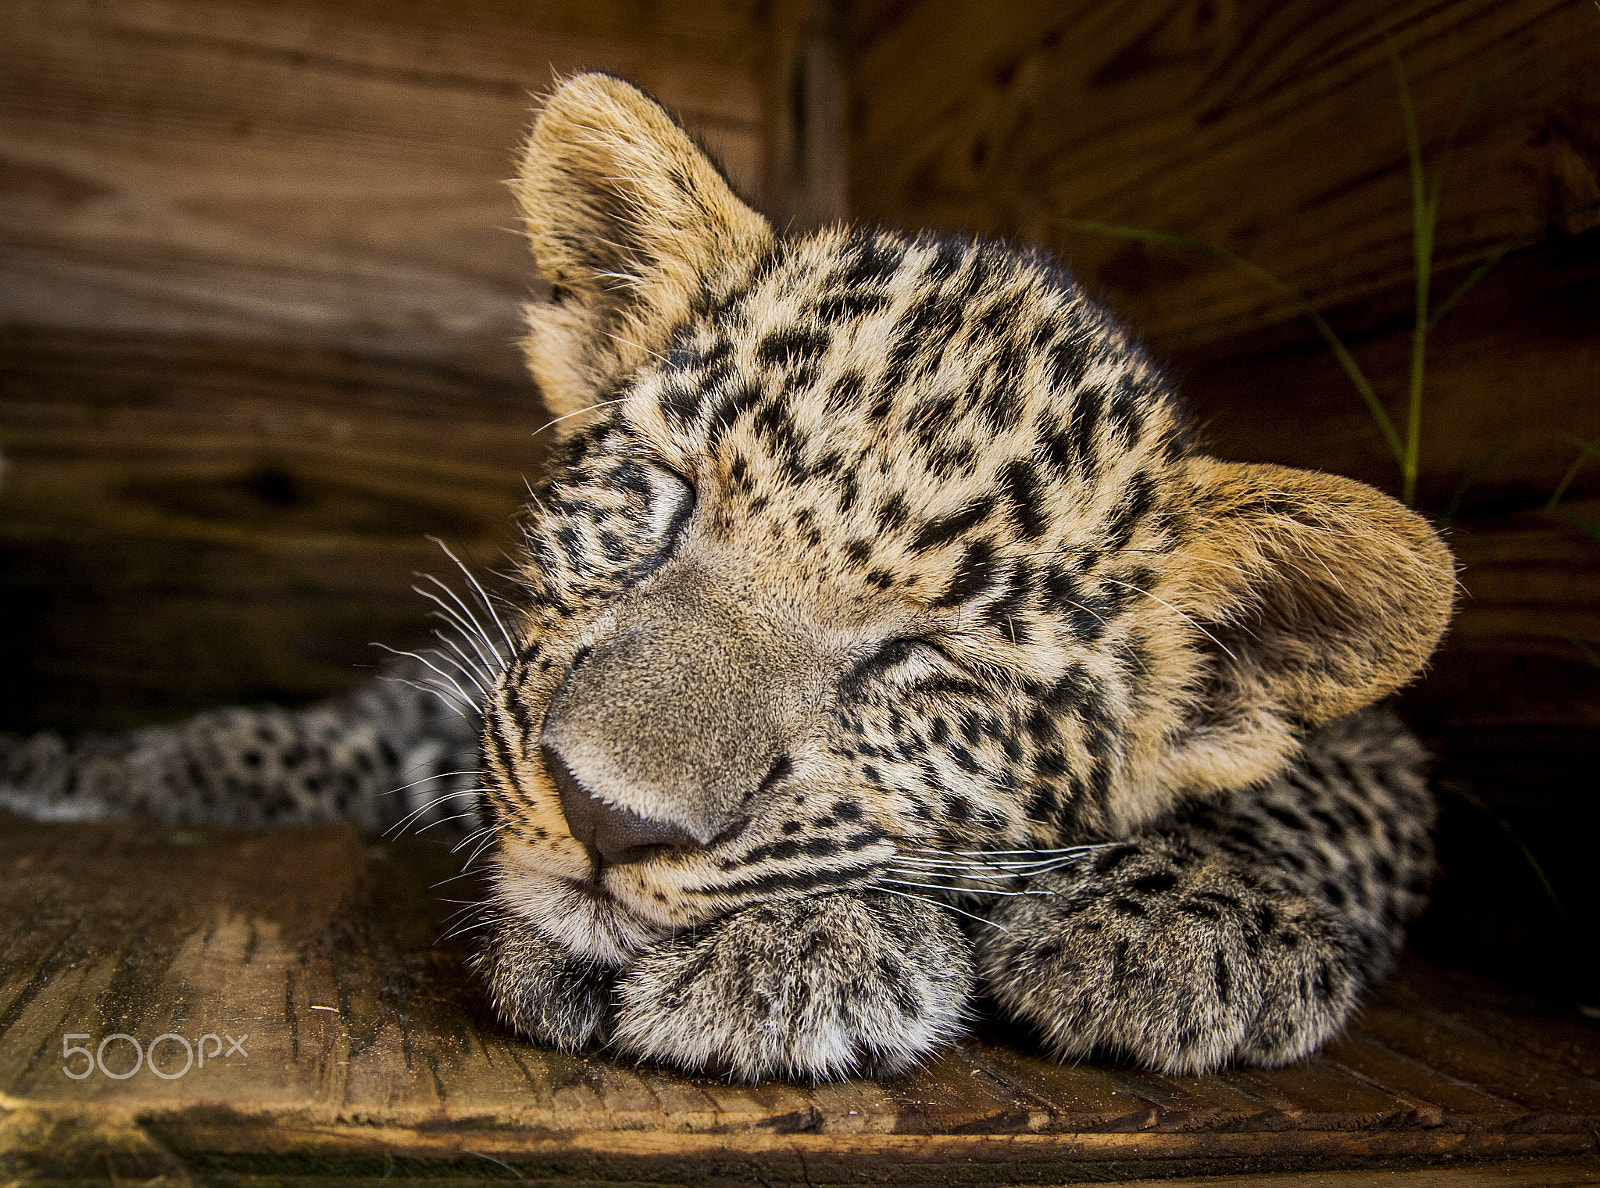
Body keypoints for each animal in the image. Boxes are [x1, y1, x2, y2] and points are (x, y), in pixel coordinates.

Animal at [0, 73, 1455, 1083]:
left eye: (930, 662)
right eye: (670, 492)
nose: (605, 818)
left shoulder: (1380, 752)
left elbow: (1305, 791)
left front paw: (1184, 918)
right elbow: (399, 737)